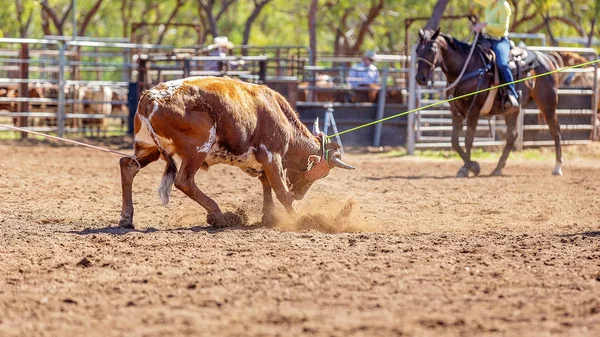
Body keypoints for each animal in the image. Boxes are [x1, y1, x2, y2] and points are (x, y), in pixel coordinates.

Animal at [119, 76, 354, 228]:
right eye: (321, 173)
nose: (300, 194)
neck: (278, 114)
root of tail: (150, 98)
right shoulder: (272, 155)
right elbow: (280, 190)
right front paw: (297, 219)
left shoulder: (261, 162)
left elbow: (267, 184)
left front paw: (269, 217)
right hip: (197, 147)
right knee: (184, 180)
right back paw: (218, 215)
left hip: (147, 147)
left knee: (128, 165)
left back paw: (126, 218)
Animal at [418, 26, 564, 176]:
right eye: (417, 50)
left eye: (431, 49)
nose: (420, 78)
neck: (467, 69)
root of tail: (546, 58)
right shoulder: (456, 111)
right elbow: (454, 141)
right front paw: (469, 166)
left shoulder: (474, 110)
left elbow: (468, 140)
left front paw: (470, 168)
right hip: (512, 110)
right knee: (512, 136)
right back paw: (498, 168)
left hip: (548, 105)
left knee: (555, 131)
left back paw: (557, 167)